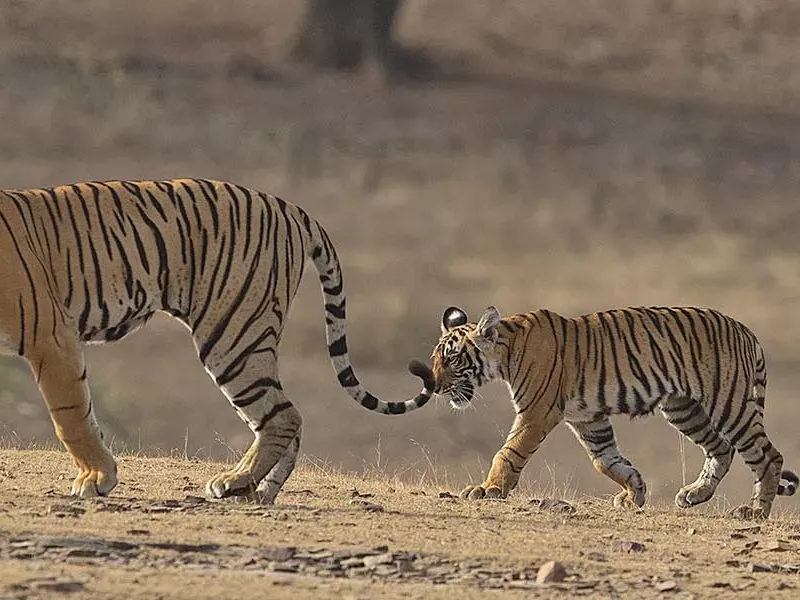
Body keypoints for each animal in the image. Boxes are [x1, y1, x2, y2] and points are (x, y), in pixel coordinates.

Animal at [0, 178, 435, 503]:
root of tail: (288, 207)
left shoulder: (50, 335)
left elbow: (71, 416)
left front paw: (96, 478)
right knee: (283, 417)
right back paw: (258, 491)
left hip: (232, 337)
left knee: (284, 415)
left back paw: (235, 482)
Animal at [412, 304, 798, 519]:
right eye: (436, 357)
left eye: (452, 358)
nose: (434, 384)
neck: (504, 353)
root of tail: (746, 331)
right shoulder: (588, 418)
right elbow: (605, 460)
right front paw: (634, 493)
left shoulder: (537, 411)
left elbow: (508, 451)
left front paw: (488, 489)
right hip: (683, 408)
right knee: (722, 449)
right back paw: (694, 494)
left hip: (728, 402)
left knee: (768, 456)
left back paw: (754, 512)